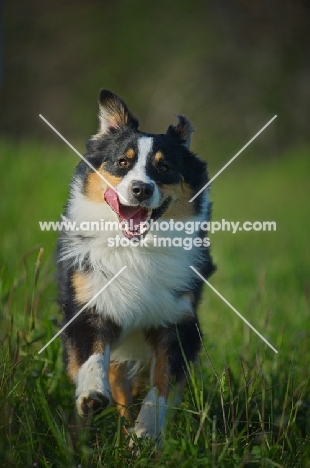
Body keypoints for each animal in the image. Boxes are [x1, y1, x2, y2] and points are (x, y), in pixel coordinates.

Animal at [56, 89, 216, 444]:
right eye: (122, 162)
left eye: (164, 167)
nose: (141, 189)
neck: (135, 250)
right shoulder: (90, 304)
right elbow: (92, 356)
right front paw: (91, 395)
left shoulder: (178, 321)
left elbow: (163, 381)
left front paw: (147, 431)